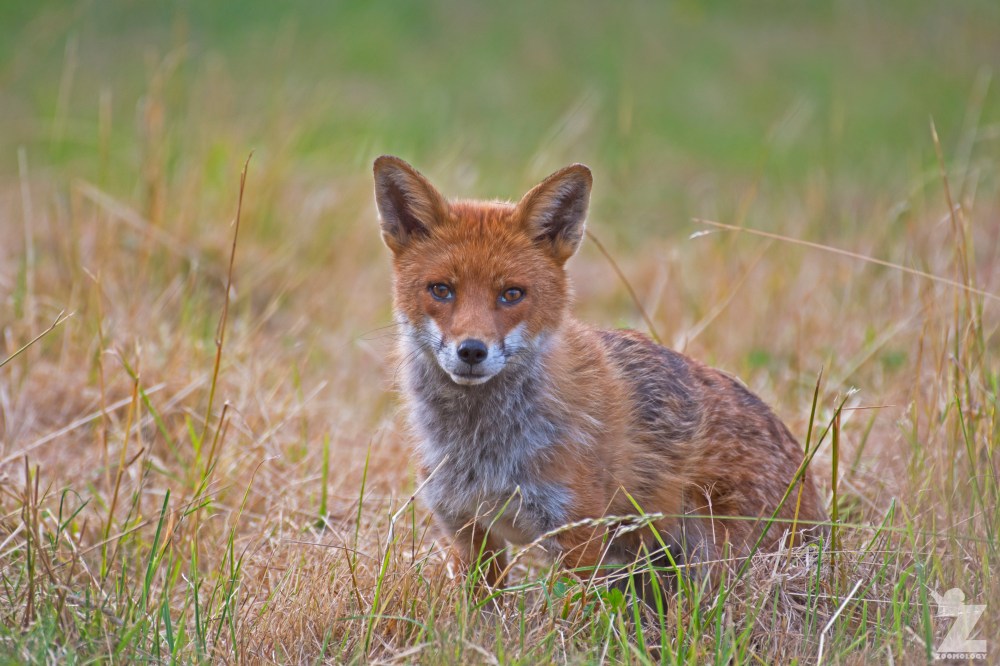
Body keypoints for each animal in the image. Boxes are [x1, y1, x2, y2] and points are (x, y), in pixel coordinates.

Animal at [373, 155, 827, 590]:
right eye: (441, 290)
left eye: (512, 294)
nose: (471, 351)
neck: (481, 449)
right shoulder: (468, 532)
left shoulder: (579, 535)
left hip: (710, 560)